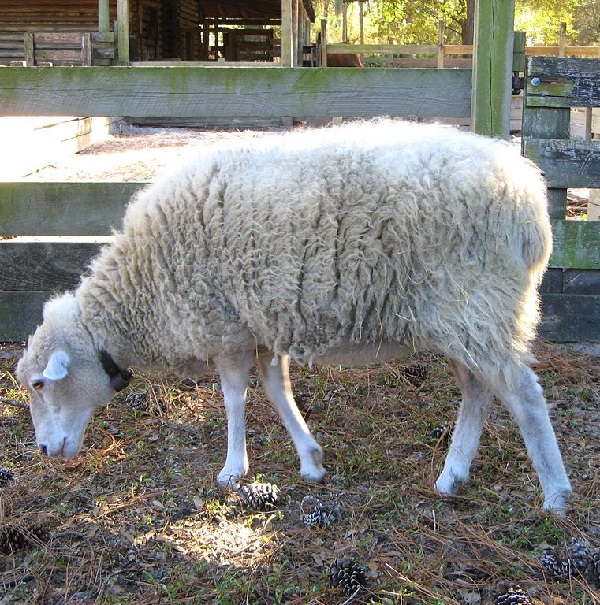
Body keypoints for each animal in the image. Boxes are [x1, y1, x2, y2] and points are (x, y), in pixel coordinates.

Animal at [15, 120, 572, 512]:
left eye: (41, 385)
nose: (43, 451)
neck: (143, 288)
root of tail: (530, 199)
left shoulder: (227, 328)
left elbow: (235, 400)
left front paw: (233, 469)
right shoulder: (262, 327)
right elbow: (276, 391)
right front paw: (311, 460)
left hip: (478, 305)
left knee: (524, 394)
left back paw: (556, 494)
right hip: (464, 318)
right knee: (478, 390)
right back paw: (453, 475)